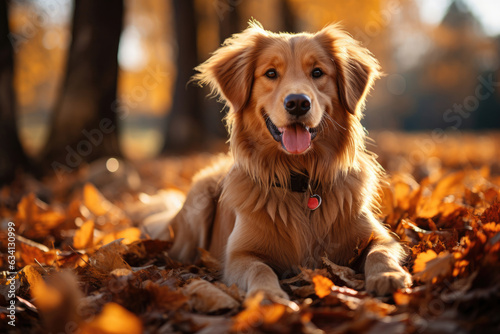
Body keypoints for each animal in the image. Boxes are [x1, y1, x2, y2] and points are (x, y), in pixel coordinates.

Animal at [166, 22, 412, 298]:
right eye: (271, 73)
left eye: (317, 72)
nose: (297, 103)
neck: (302, 181)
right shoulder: (239, 255)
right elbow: (259, 269)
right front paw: (268, 295)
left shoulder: (381, 236)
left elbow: (379, 251)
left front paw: (387, 275)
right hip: (199, 197)